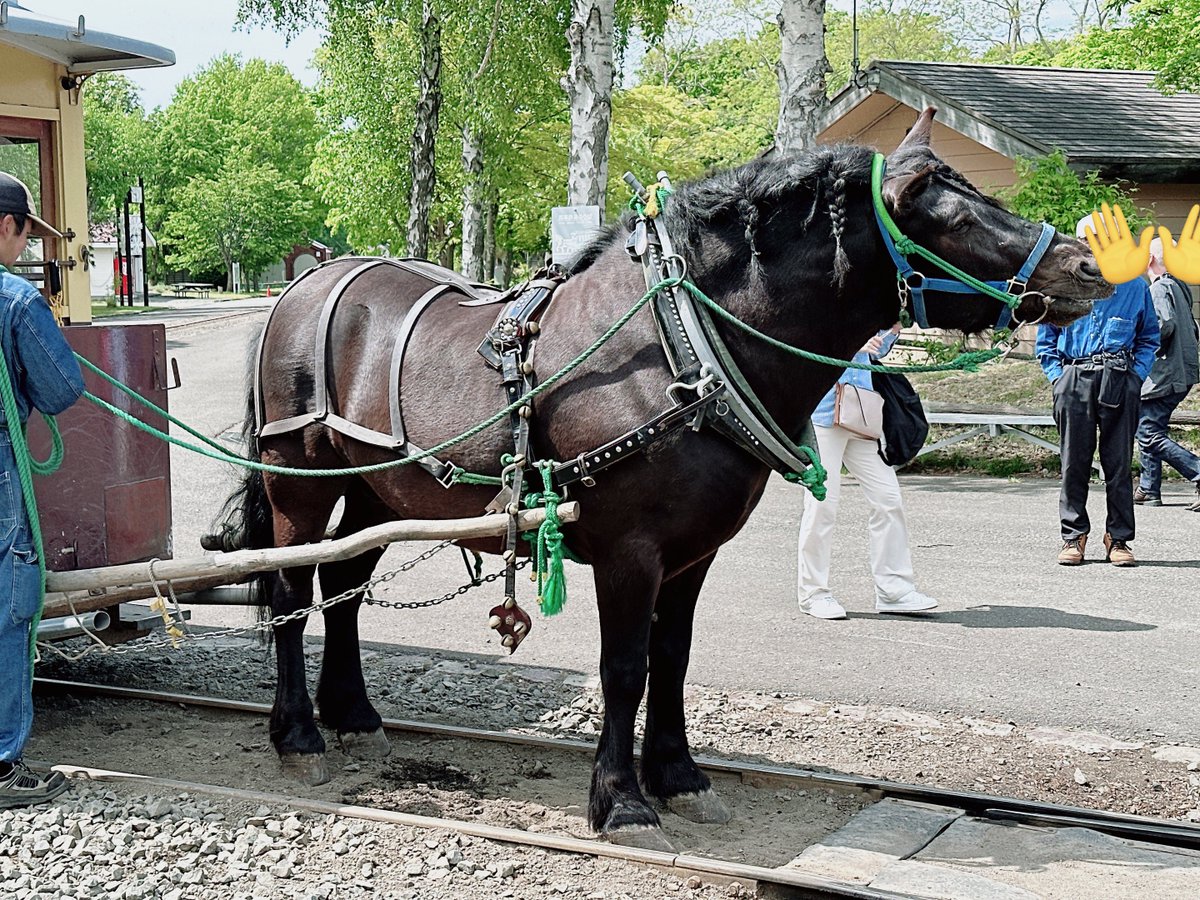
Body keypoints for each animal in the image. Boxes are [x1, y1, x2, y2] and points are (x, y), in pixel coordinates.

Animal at [216, 109, 1104, 849]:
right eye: (950, 213)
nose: (1088, 265)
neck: (683, 347)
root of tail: (301, 283)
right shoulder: (629, 550)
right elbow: (625, 667)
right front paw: (622, 801)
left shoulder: (694, 550)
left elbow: (672, 657)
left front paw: (678, 776)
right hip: (300, 481)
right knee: (292, 592)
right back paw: (297, 733)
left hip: (375, 491)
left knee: (344, 585)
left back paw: (354, 714)